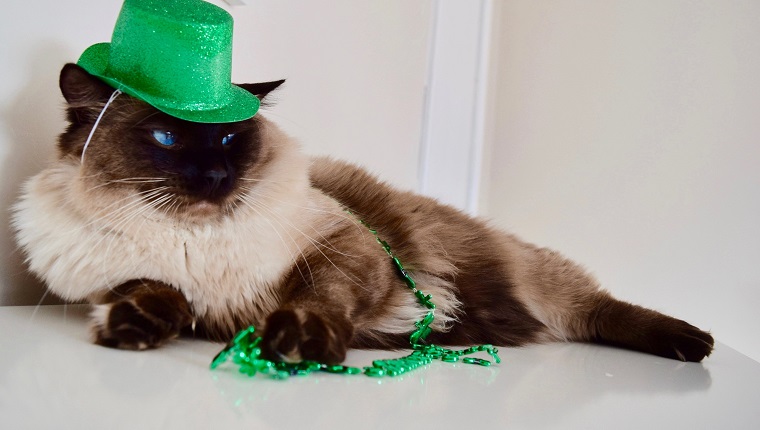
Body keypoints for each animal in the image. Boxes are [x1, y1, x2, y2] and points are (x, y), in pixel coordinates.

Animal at [10, 63, 712, 362]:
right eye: (164, 138)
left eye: (231, 138)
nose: (215, 176)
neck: (192, 238)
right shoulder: (134, 281)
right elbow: (154, 294)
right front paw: (132, 329)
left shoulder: (343, 250)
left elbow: (316, 297)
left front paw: (299, 342)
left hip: (523, 275)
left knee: (595, 309)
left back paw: (692, 344)